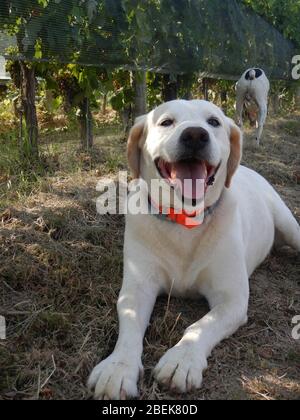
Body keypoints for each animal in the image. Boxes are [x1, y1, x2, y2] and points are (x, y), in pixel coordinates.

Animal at [88, 99, 298, 400]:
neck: (185, 221)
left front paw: (182, 360)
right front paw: (118, 367)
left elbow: (201, 325)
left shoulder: (232, 300)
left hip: (289, 224)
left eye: (213, 122)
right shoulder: (137, 288)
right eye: (166, 122)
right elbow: (129, 324)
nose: (196, 135)